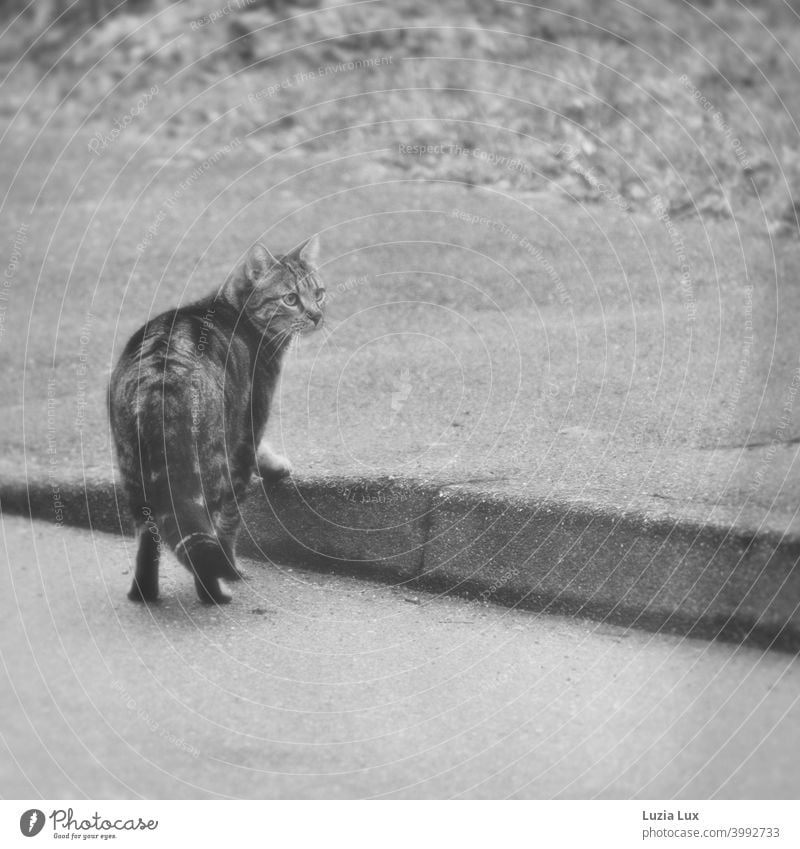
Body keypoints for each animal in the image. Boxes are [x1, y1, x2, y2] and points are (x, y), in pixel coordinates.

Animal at [108, 235, 324, 600]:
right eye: (291, 298)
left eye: (319, 292)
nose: (317, 316)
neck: (236, 310)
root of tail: (156, 381)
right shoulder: (250, 419)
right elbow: (231, 520)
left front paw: (276, 465)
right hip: (210, 465)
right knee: (207, 531)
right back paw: (216, 591)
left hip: (135, 478)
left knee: (148, 543)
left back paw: (144, 594)